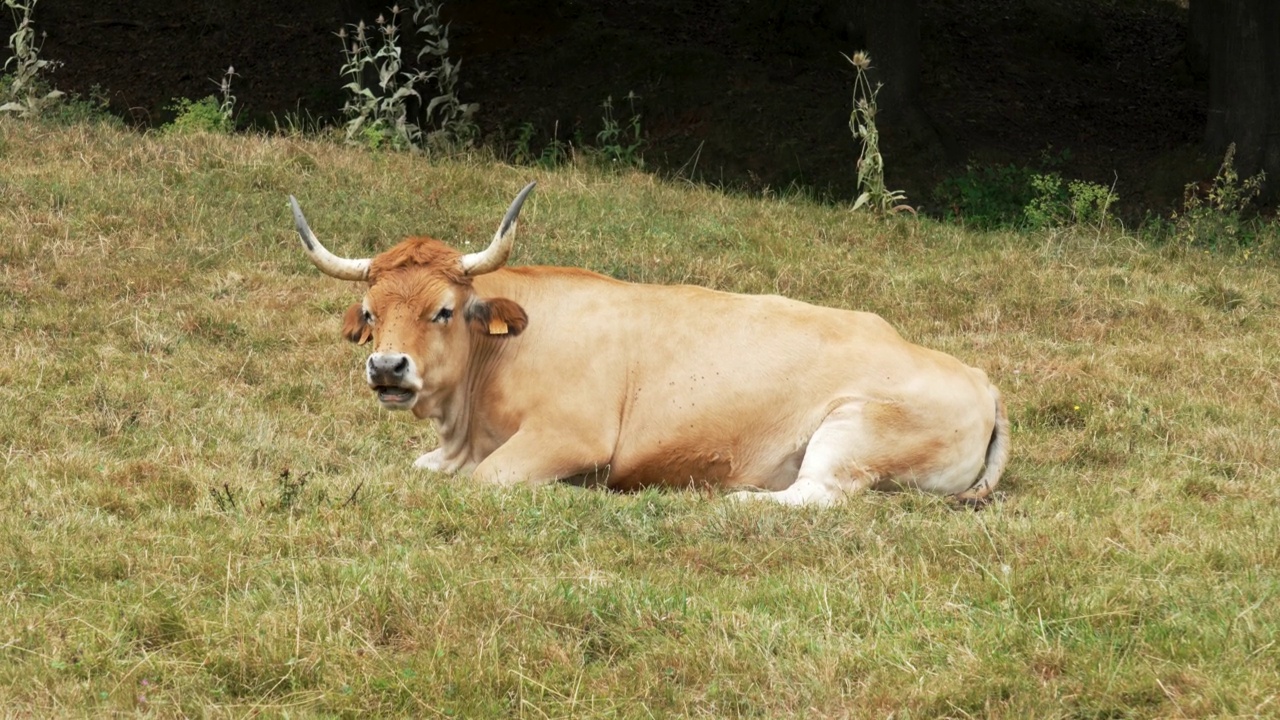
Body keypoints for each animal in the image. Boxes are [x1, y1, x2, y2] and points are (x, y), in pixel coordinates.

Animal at [290, 179, 1008, 504]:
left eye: (443, 310)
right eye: (371, 312)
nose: (387, 366)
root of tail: (979, 378)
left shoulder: (570, 436)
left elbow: (490, 480)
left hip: (853, 433)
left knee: (814, 497)